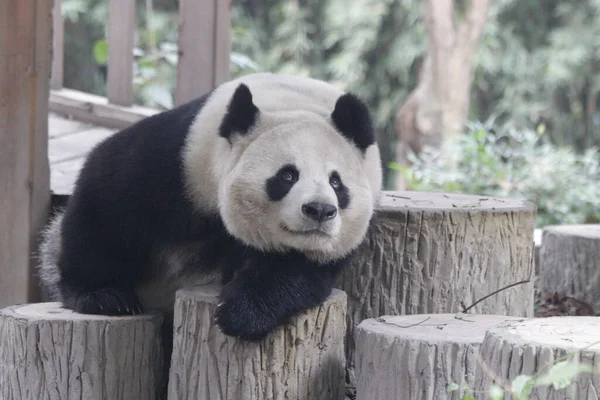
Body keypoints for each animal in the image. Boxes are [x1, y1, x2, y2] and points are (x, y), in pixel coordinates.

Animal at [38, 72, 384, 340]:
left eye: (336, 182)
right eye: (287, 175)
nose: (320, 210)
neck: (293, 101)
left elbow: (296, 268)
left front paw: (243, 313)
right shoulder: (182, 159)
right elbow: (108, 200)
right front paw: (103, 296)